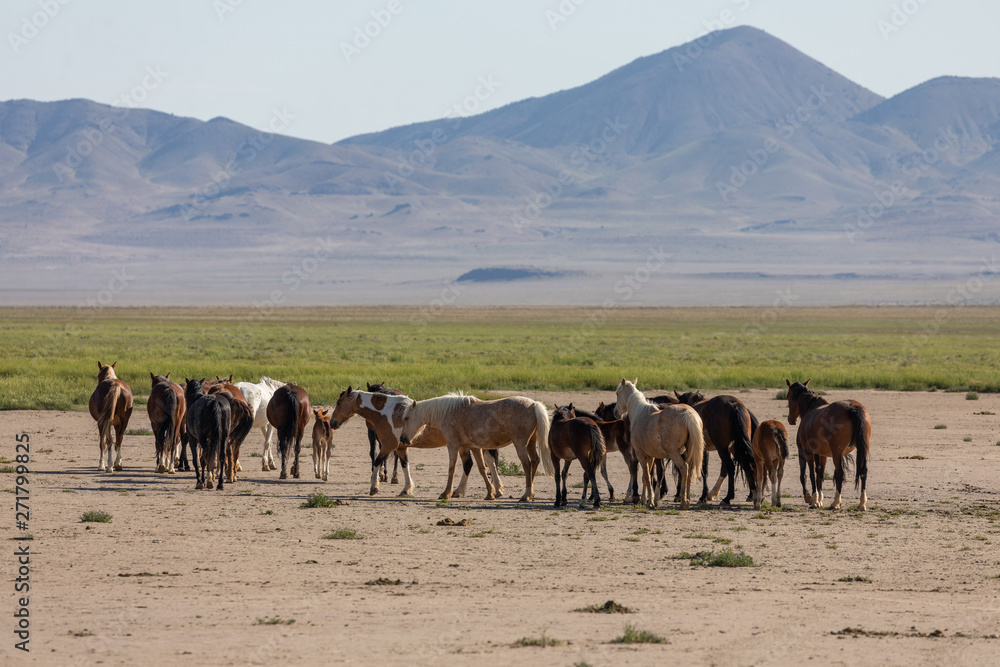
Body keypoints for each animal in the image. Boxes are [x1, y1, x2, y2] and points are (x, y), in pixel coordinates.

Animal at [400, 392, 556, 500]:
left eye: (406, 418)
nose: (402, 439)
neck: (448, 412)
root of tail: (534, 404)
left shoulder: (452, 446)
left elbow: (451, 469)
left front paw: (446, 493)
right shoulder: (474, 447)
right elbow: (482, 469)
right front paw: (490, 493)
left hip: (520, 444)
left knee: (527, 465)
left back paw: (526, 494)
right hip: (530, 443)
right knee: (535, 461)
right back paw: (531, 493)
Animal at [616, 378, 704, 508]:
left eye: (617, 393)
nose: (615, 412)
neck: (640, 413)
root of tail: (688, 413)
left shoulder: (640, 454)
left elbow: (647, 476)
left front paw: (650, 502)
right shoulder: (651, 456)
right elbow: (646, 477)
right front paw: (645, 499)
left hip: (674, 453)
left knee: (684, 468)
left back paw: (684, 501)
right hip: (689, 451)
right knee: (690, 470)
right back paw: (687, 499)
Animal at [784, 380, 872, 512]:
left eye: (788, 396)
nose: (791, 419)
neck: (811, 409)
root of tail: (853, 407)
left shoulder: (807, 452)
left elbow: (810, 475)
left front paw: (813, 500)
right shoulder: (822, 454)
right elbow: (820, 474)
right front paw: (819, 500)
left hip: (836, 453)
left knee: (839, 472)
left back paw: (835, 503)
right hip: (863, 449)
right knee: (863, 471)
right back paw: (862, 503)